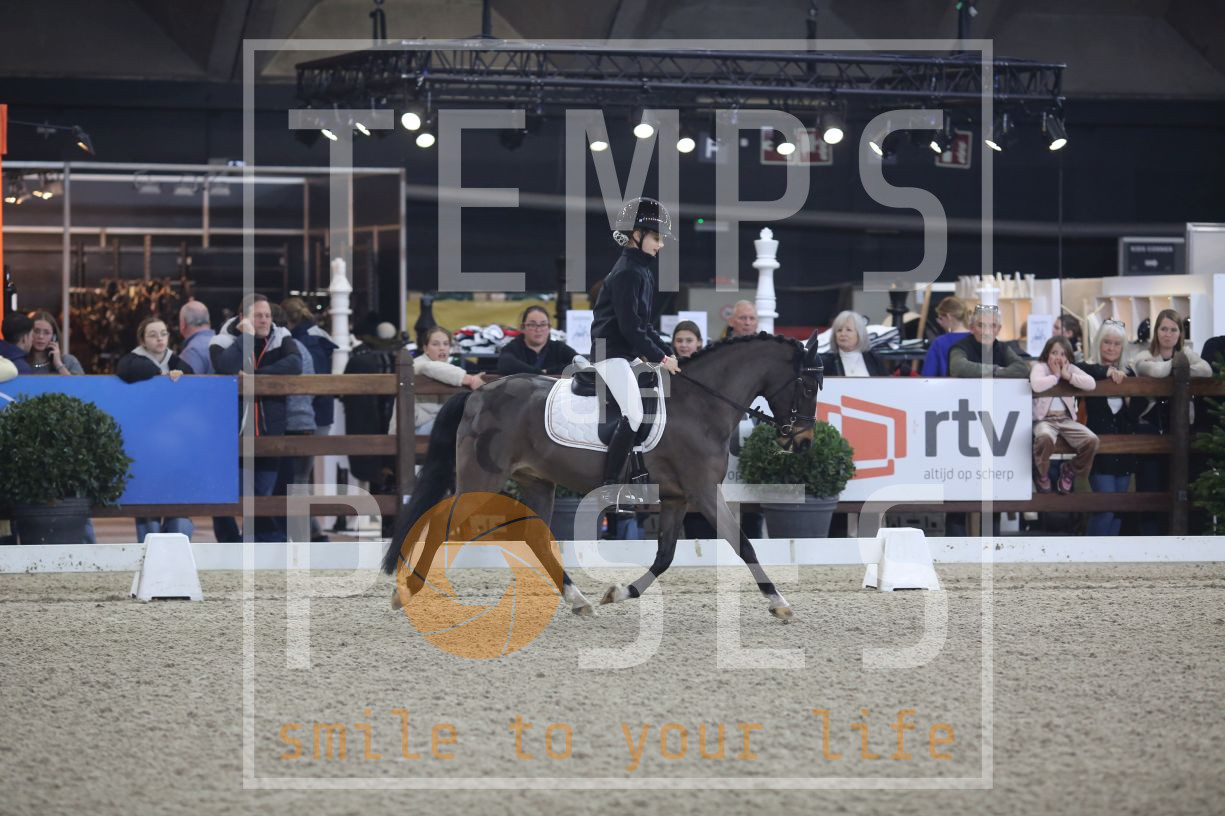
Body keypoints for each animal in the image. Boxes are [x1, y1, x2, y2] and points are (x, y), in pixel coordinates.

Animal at [380, 332, 823, 620]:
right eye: (807, 386)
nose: (802, 443)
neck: (702, 404)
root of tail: (476, 393)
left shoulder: (677, 497)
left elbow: (665, 555)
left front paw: (620, 592)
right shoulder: (703, 491)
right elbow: (743, 543)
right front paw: (779, 603)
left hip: (535, 480)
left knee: (536, 537)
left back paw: (578, 599)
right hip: (482, 481)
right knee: (441, 521)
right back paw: (407, 591)